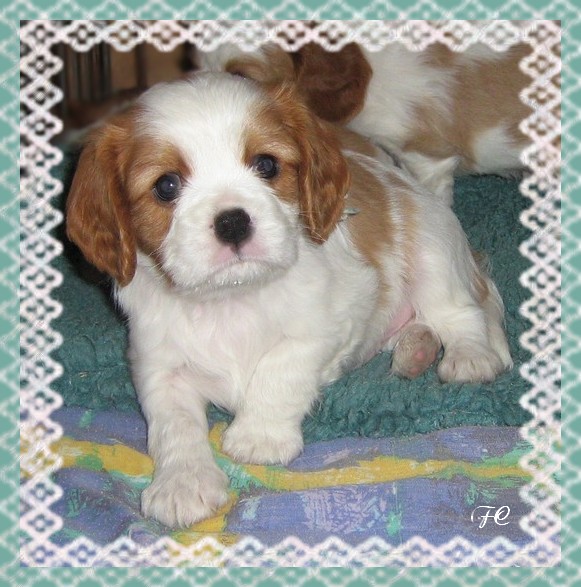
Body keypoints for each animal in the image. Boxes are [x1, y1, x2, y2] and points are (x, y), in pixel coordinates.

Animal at [66, 72, 512, 528]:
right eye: (166, 186)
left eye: (266, 165)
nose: (232, 221)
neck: (232, 299)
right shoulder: (158, 365)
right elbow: (173, 425)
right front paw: (182, 483)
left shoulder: (332, 319)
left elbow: (281, 368)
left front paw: (258, 436)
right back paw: (415, 350)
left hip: (432, 253)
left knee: (460, 314)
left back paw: (467, 356)